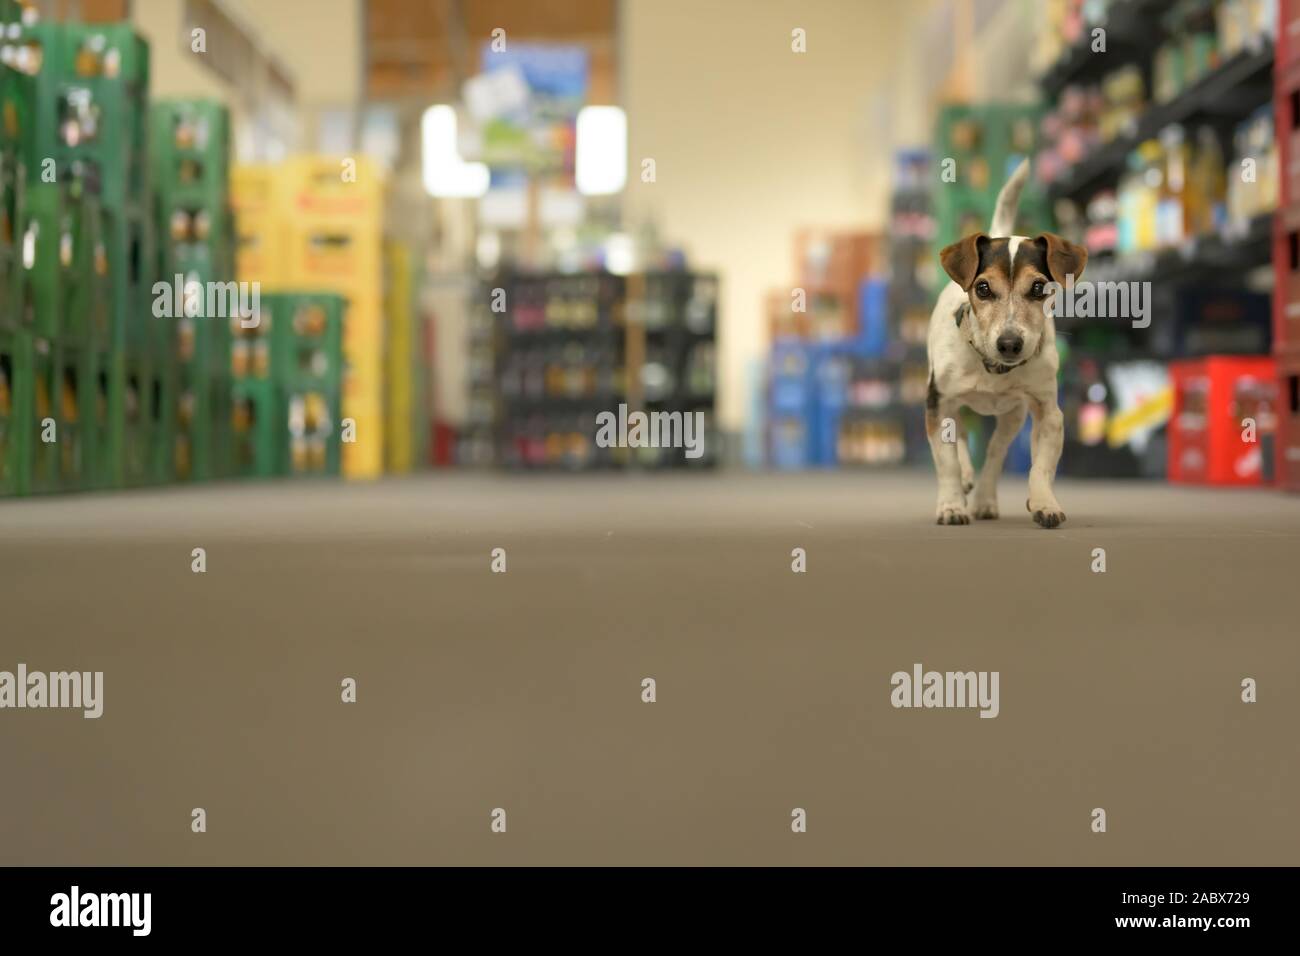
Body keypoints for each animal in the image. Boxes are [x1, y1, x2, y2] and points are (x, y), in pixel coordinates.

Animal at [925, 159, 1086, 528]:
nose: (1010, 343)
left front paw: (1044, 503)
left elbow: (1041, 468)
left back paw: (985, 498)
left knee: (995, 453)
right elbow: (947, 463)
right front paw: (951, 505)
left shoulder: (1048, 413)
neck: (993, 368)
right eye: (983, 289)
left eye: (1039, 288)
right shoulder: (938, 403)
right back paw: (966, 480)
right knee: (962, 439)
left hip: (1012, 416)